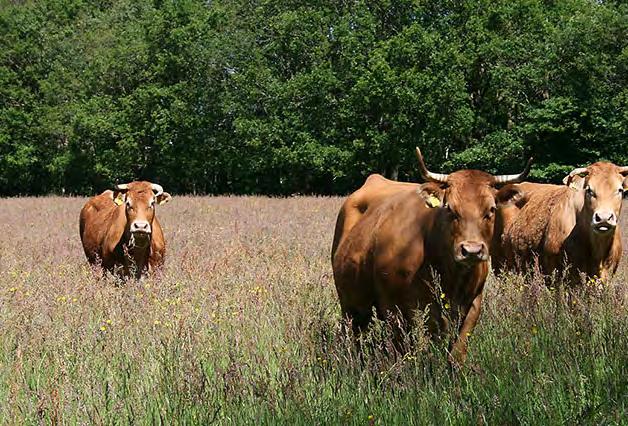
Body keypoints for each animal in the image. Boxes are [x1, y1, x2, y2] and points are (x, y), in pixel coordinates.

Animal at [332, 148, 532, 364]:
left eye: (492, 209)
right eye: (450, 208)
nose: (471, 250)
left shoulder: (472, 304)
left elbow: (456, 353)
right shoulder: (397, 306)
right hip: (351, 303)